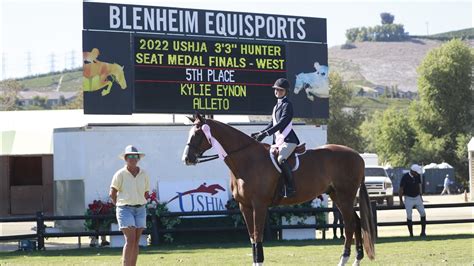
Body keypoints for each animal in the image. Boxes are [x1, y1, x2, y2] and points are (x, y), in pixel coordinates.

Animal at [181, 113, 374, 264]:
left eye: (197, 133)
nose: (187, 159)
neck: (247, 160)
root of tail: (358, 156)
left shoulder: (259, 205)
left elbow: (258, 236)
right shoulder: (245, 206)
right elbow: (252, 238)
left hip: (345, 196)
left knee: (350, 225)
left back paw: (343, 260)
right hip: (337, 197)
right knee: (357, 223)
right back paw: (356, 259)